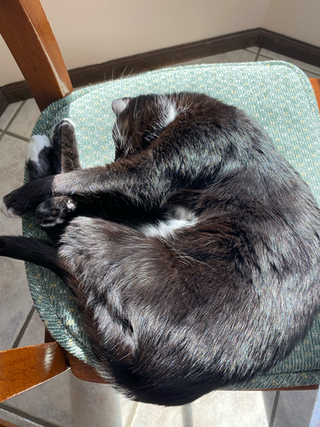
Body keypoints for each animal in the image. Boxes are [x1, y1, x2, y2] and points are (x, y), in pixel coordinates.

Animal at [0, 92, 320, 406]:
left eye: (118, 144)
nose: (121, 156)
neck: (186, 110)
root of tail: (145, 377)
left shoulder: (150, 171)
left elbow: (83, 177)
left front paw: (20, 197)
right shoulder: (146, 195)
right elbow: (89, 182)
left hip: (103, 232)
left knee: (65, 233)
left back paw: (43, 168)